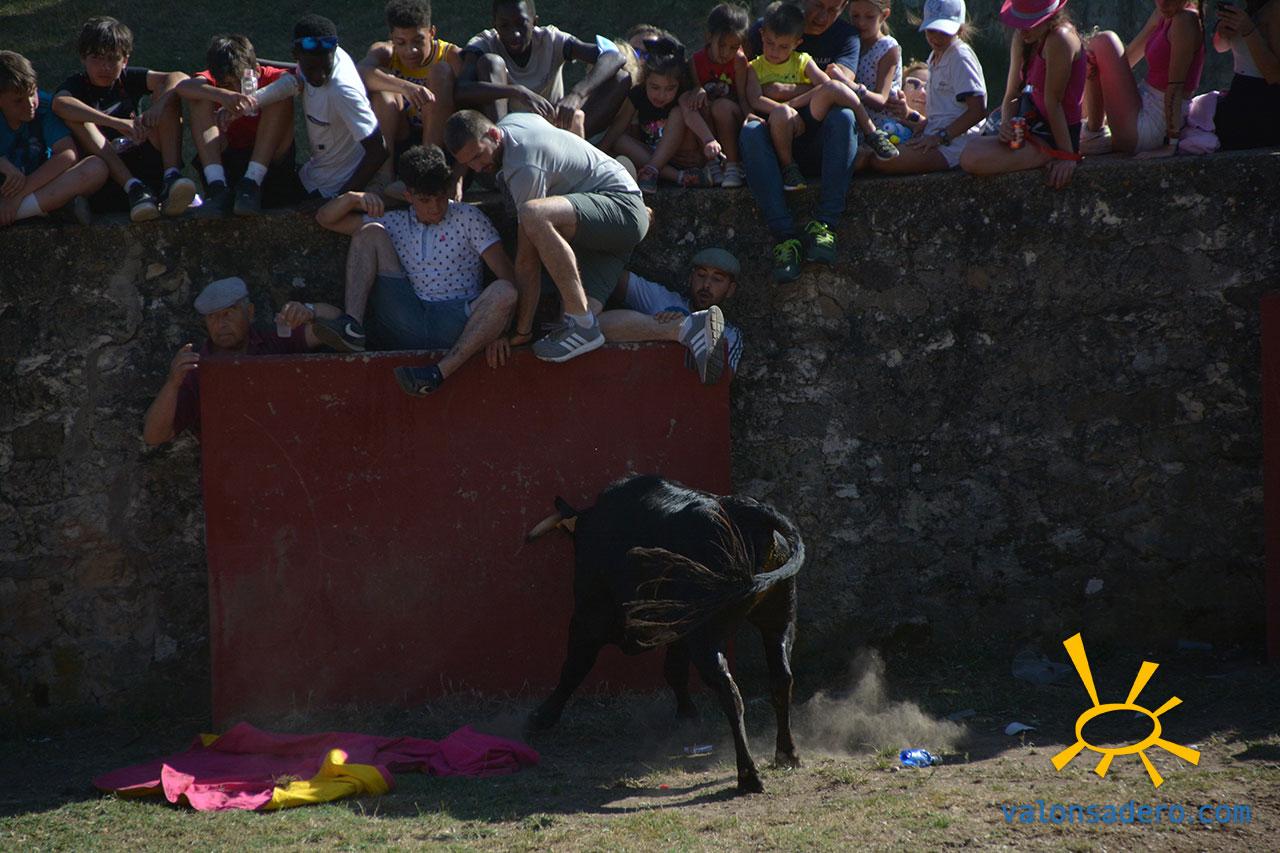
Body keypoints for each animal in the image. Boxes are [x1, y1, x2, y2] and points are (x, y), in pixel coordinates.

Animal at [524, 474, 805, 794]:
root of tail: (746, 510)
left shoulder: (588, 618)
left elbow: (573, 668)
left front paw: (540, 718)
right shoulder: (679, 628)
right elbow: (674, 670)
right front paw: (688, 718)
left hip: (706, 636)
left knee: (730, 692)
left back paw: (748, 775)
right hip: (779, 618)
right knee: (781, 678)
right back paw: (787, 754)